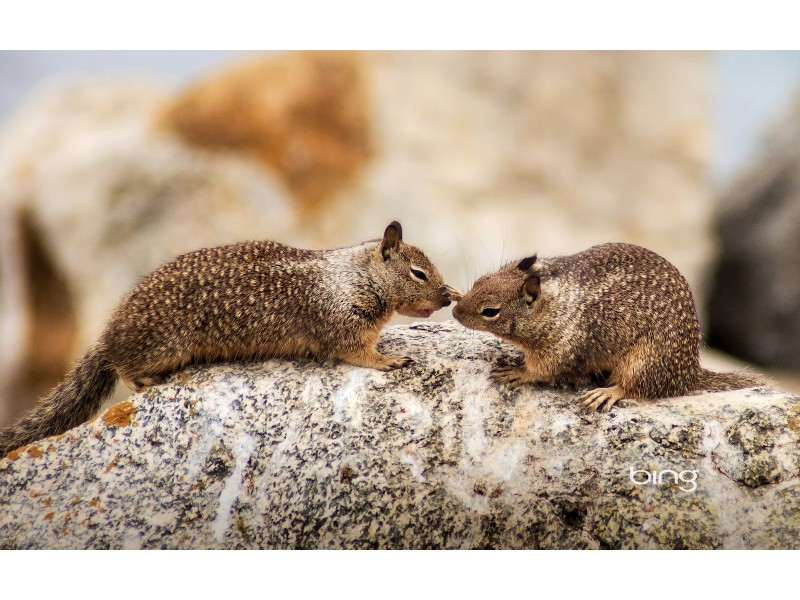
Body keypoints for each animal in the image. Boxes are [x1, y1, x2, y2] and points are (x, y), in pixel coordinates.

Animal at [0, 220, 456, 454]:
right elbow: (359, 352)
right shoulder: (342, 323)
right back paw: (145, 380)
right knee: (123, 365)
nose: (446, 296)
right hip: (163, 346)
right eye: (418, 273)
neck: (355, 274)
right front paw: (390, 360)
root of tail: (110, 331)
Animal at [454, 241, 764, 410]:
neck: (554, 306)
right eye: (479, 281)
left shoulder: (560, 348)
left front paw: (516, 372)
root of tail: (689, 374)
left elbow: (541, 371)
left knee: (637, 389)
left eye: (490, 311)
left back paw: (606, 393)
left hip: (644, 361)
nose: (456, 312)